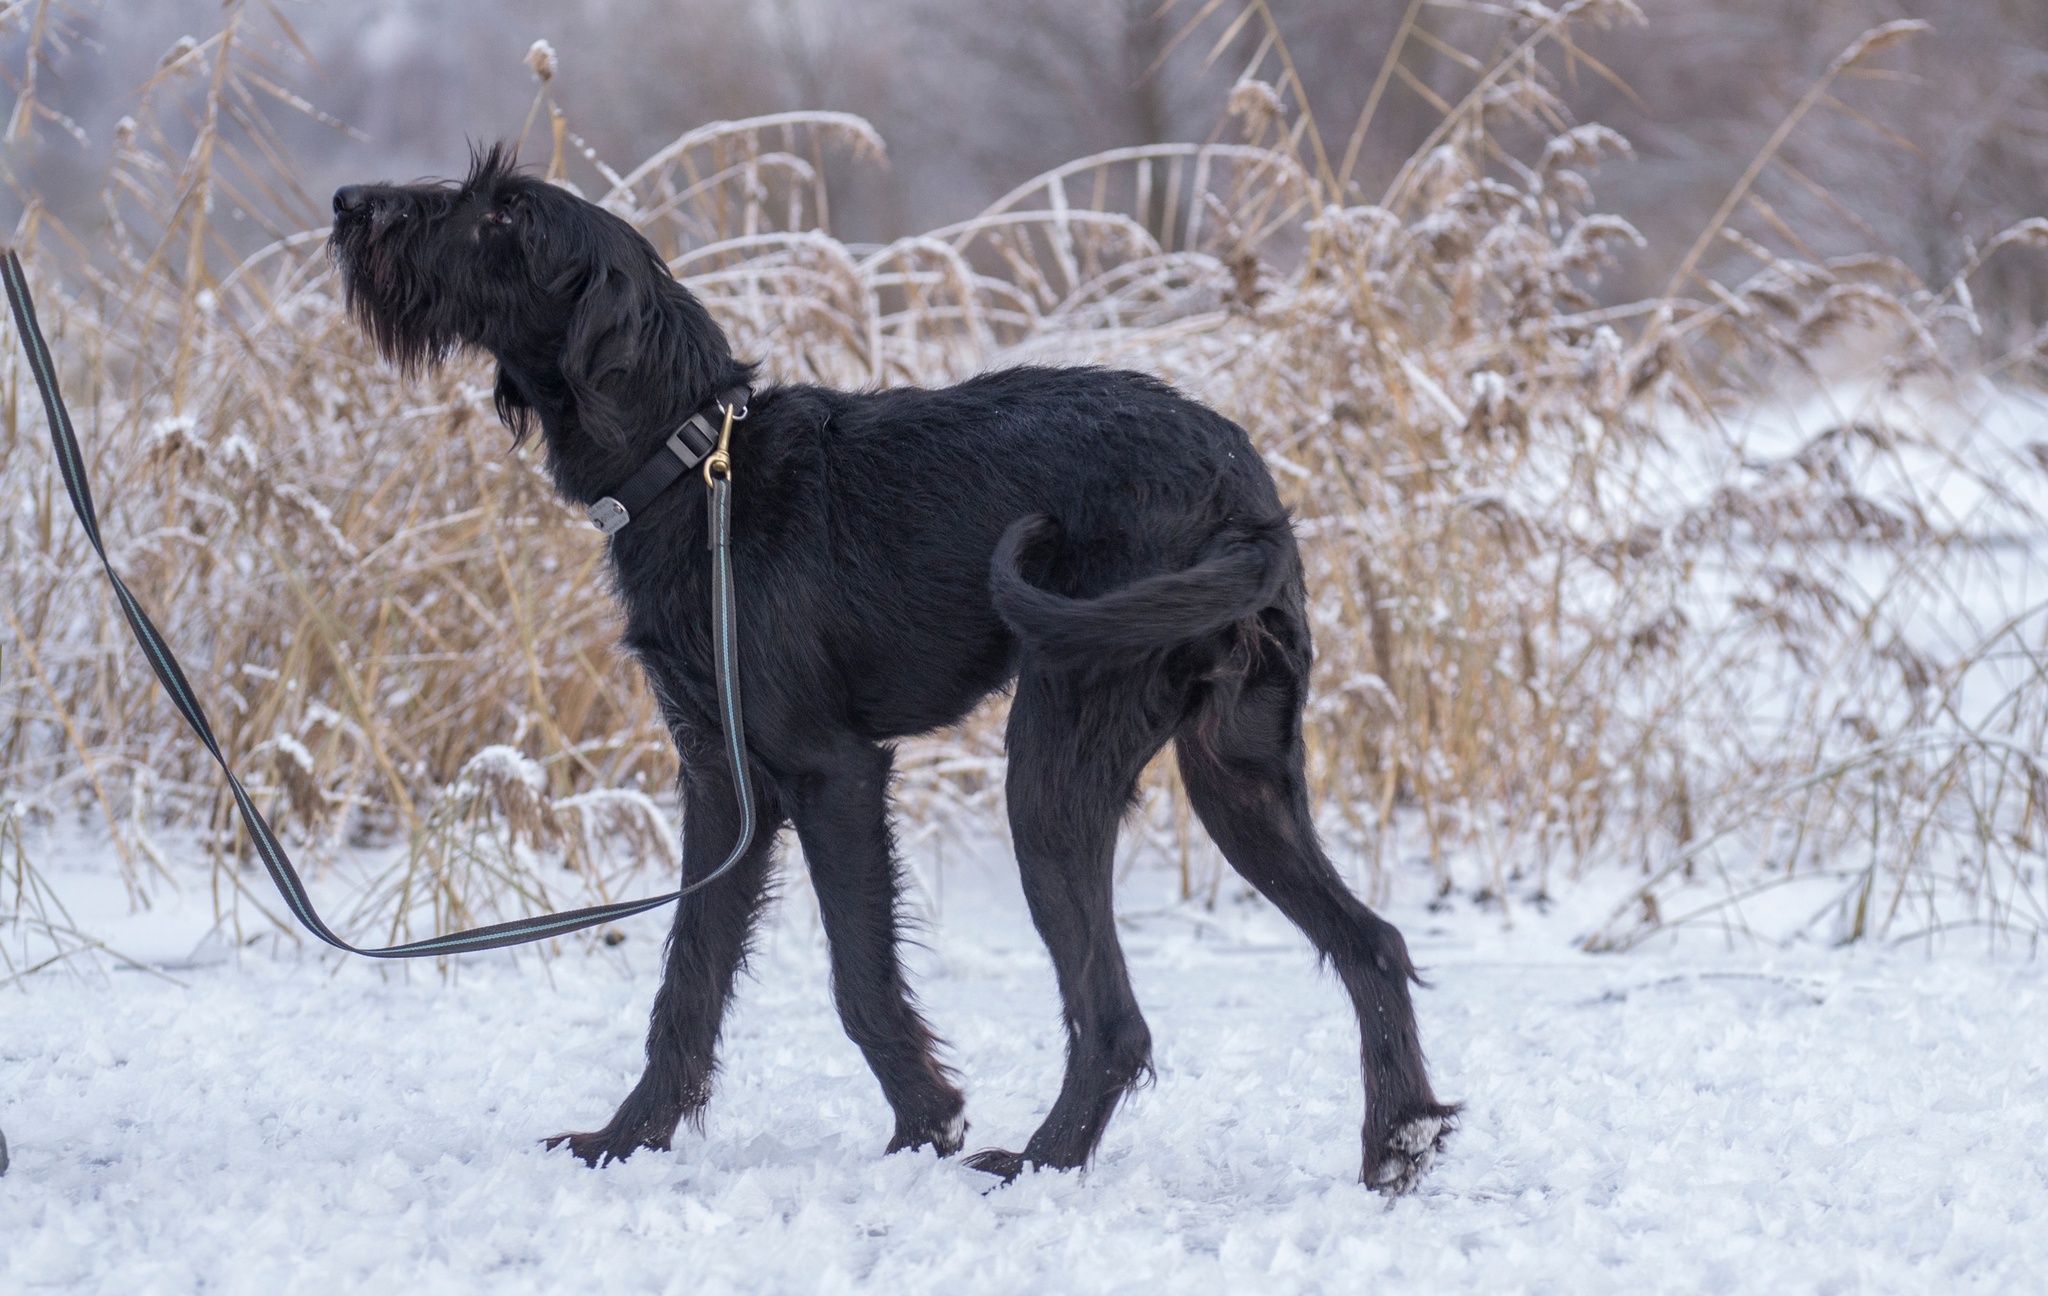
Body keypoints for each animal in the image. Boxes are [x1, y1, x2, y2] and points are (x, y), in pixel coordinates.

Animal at [327, 146, 1458, 1187]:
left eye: (505, 212)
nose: (348, 202)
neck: (693, 463)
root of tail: (1240, 498)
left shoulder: (830, 772)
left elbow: (858, 978)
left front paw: (926, 1123)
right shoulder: (721, 781)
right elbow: (688, 977)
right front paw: (627, 1139)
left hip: (1052, 767)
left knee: (1114, 1020)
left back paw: (1035, 1162)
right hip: (1239, 777)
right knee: (1371, 942)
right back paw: (1396, 1138)